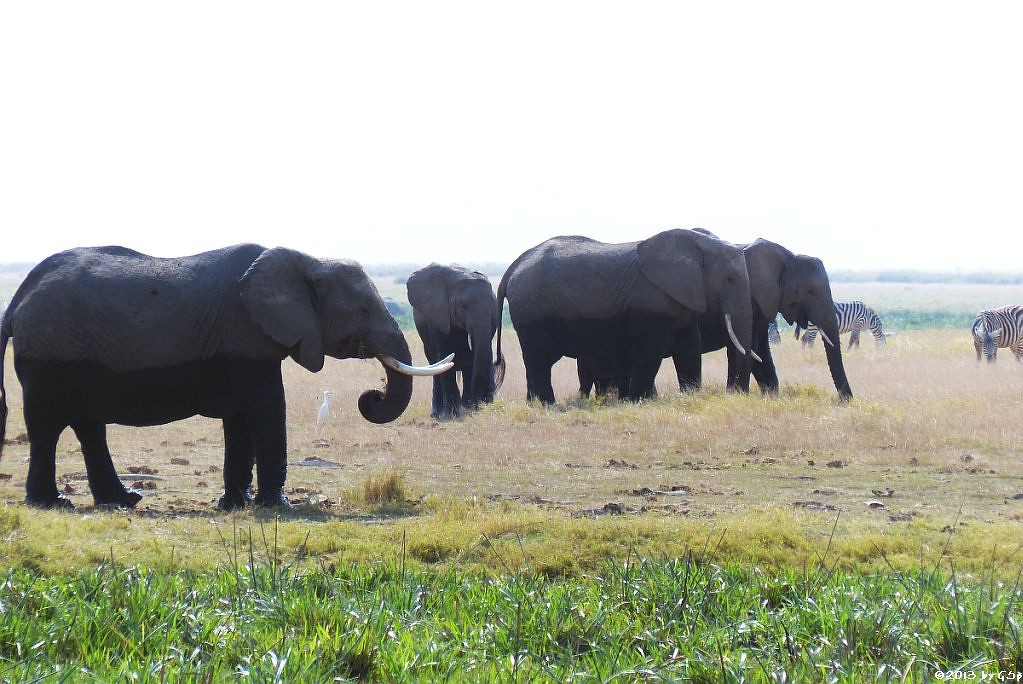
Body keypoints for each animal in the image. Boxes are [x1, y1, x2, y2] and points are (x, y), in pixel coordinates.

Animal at [407, 261, 503, 419]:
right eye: (463, 306)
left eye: (494, 308)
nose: (485, 402)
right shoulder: (437, 316)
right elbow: (445, 355)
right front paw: (452, 415)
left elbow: (473, 357)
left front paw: (470, 409)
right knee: (435, 363)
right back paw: (437, 413)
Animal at [499, 229, 757, 402]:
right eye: (729, 279)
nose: (737, 393)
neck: (699, 245)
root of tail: (513, 267)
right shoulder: (652, 305)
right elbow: (652, 350)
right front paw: (637, 402)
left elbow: (690, 348)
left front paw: (691, 397)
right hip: (532, 311)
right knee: (540, 360)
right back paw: (548, 405)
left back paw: (534, 404)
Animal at [675, 240, 851, 400]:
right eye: (810, 291)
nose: (845, 401)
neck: (788, 257)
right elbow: (746, 349)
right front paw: (738, 395)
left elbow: (761, 350)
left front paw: (769, 396)